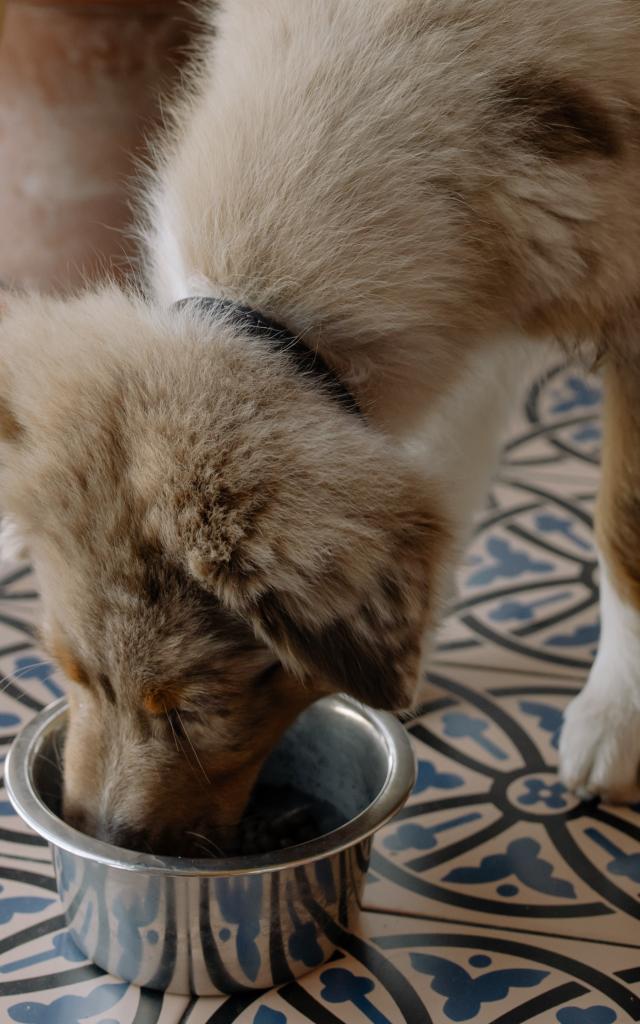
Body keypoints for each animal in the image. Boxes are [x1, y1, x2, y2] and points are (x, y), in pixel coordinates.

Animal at [1, 0, 638, 851]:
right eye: (67, 670)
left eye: (193, 708)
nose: (97, 832)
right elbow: (440, 481)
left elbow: (622, 527)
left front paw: (617, 721)